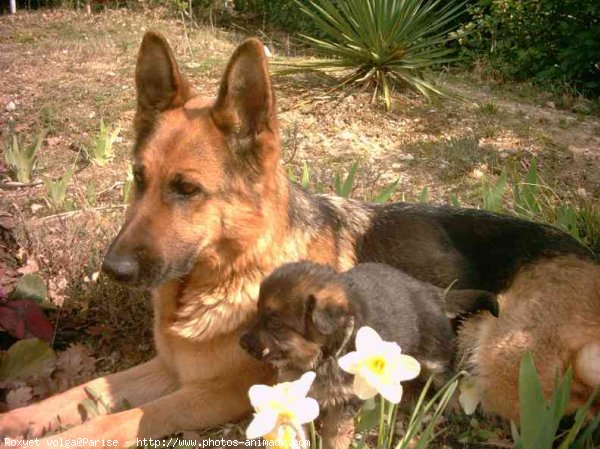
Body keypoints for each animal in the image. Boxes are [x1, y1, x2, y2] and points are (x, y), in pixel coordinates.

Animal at [241, 260, 500, 448]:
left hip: (432, 354)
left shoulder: (345, 401)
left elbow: (335, 435)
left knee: (447, 375)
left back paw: (453, 404)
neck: (325, 355)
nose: (242, 343)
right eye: (257, 313)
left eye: (275, 324)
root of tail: (429, 290)